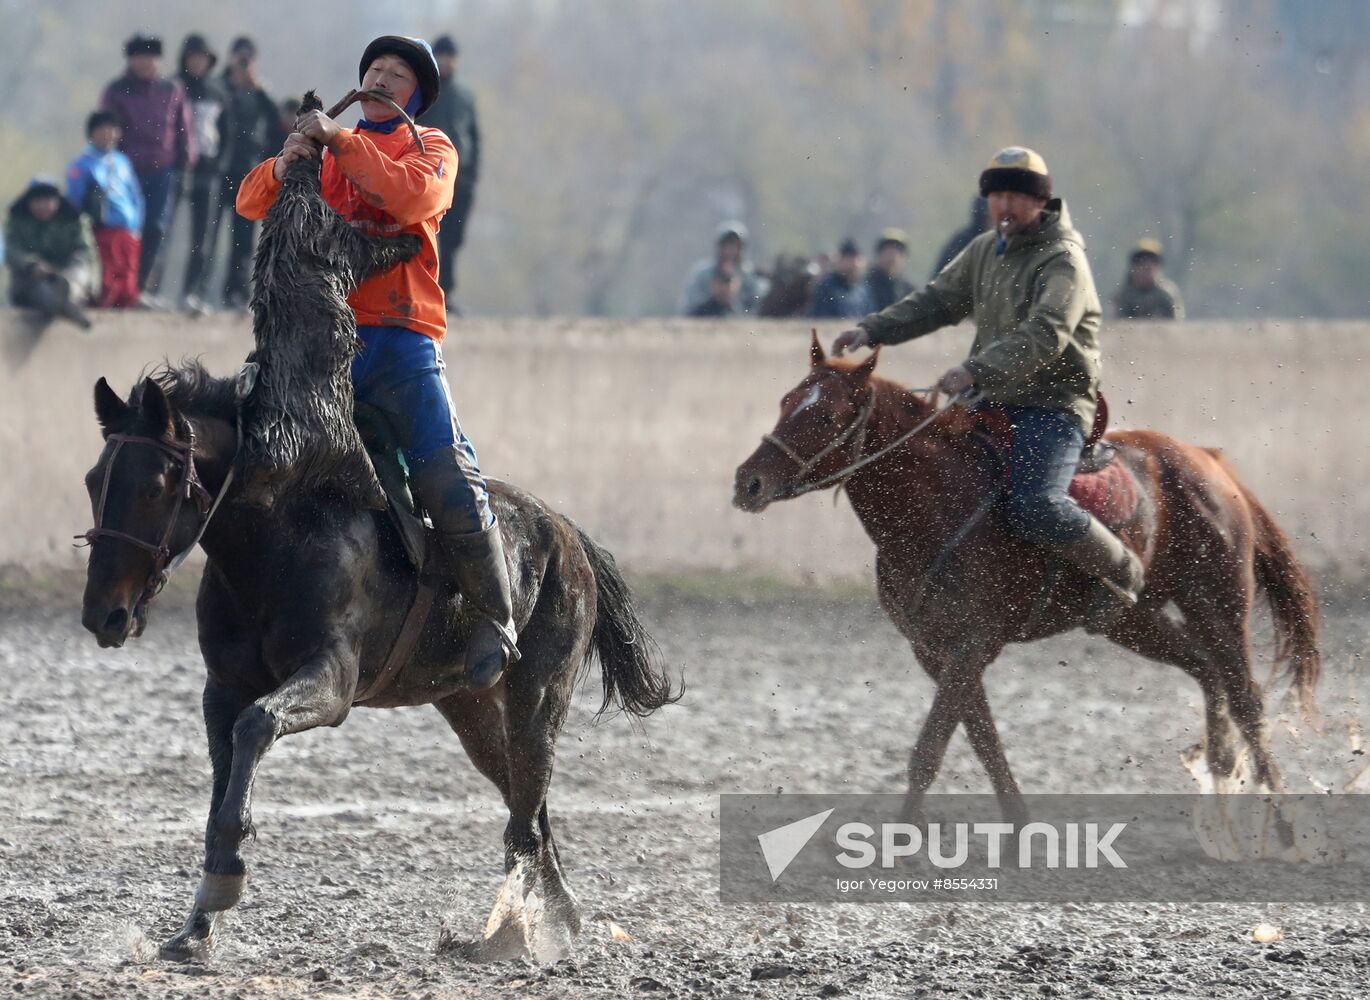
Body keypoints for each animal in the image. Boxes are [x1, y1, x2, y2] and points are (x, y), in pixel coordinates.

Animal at [734, 335, 1320, 816]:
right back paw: (1221, 781)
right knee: (1206, 670)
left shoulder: (973, 642)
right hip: (1130, 621)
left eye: (825, 417)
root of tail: (1212, 462)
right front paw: (1017, 832)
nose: (748, 482)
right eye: (786, 402)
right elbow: (984, 744)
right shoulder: (933, 649)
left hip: (1218, 603)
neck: (938, 505)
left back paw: (1281, 824)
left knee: (1247, 700)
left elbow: (929, 750)